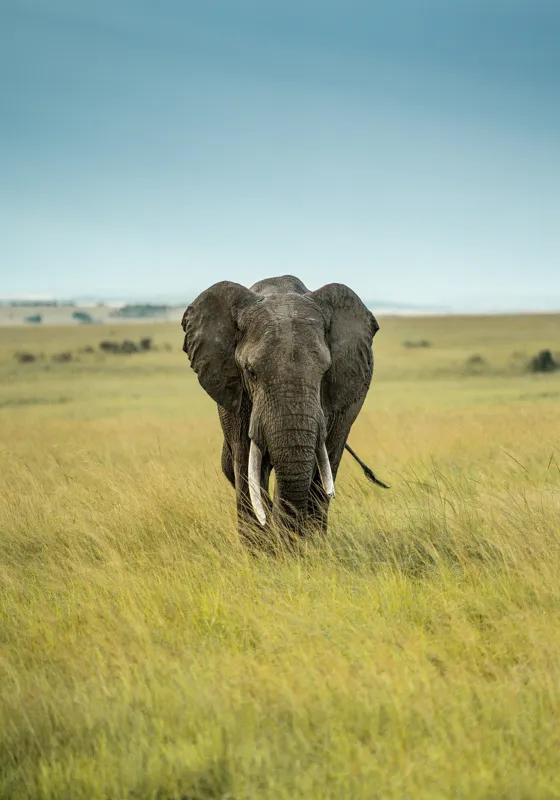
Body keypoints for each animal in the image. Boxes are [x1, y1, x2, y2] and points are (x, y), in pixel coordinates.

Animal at [181, 274, 387, 543]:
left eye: (324, 372)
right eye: (251, 372)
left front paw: (292, 546)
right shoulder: (235, 396)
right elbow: (245, 465)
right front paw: (262, 547)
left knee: (327, 466)